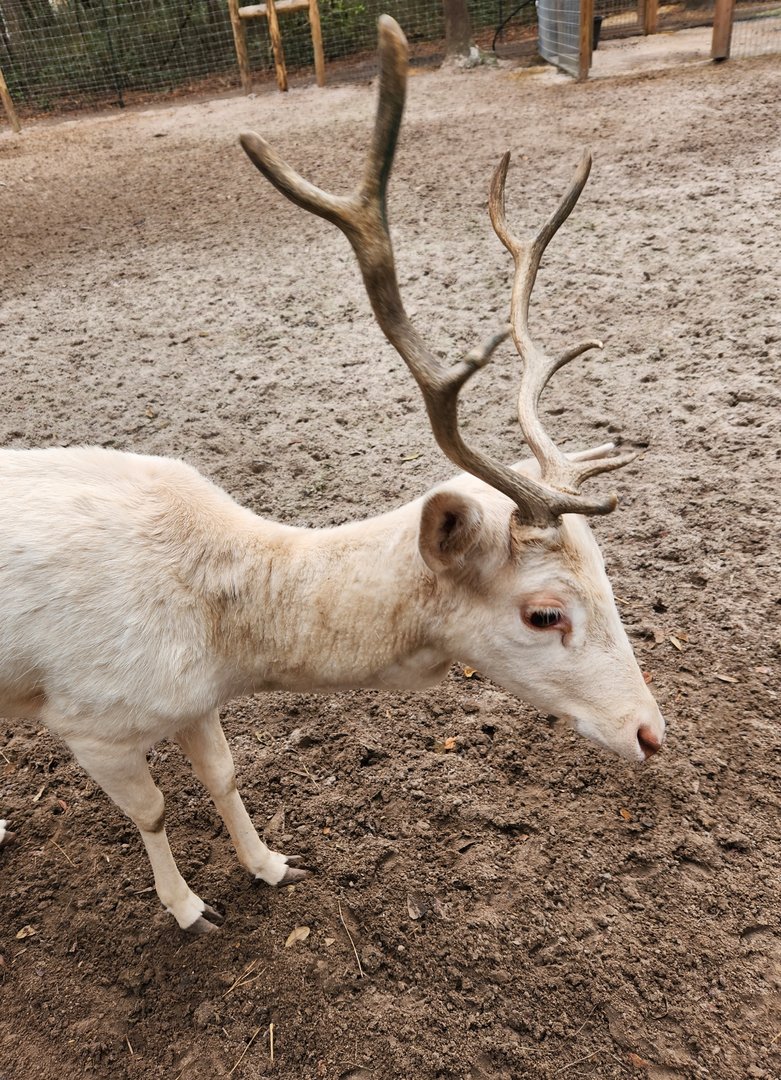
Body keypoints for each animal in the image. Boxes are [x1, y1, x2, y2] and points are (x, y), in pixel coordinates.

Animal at [0, 16, 664, 934]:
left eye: (607, 572)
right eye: (542, 613)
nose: (651, 733)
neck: (222, 640)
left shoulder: (196, 703)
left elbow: (223, 774)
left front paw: (270, 865)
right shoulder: (87, 720)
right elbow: (154, 811)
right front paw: (188, 908)